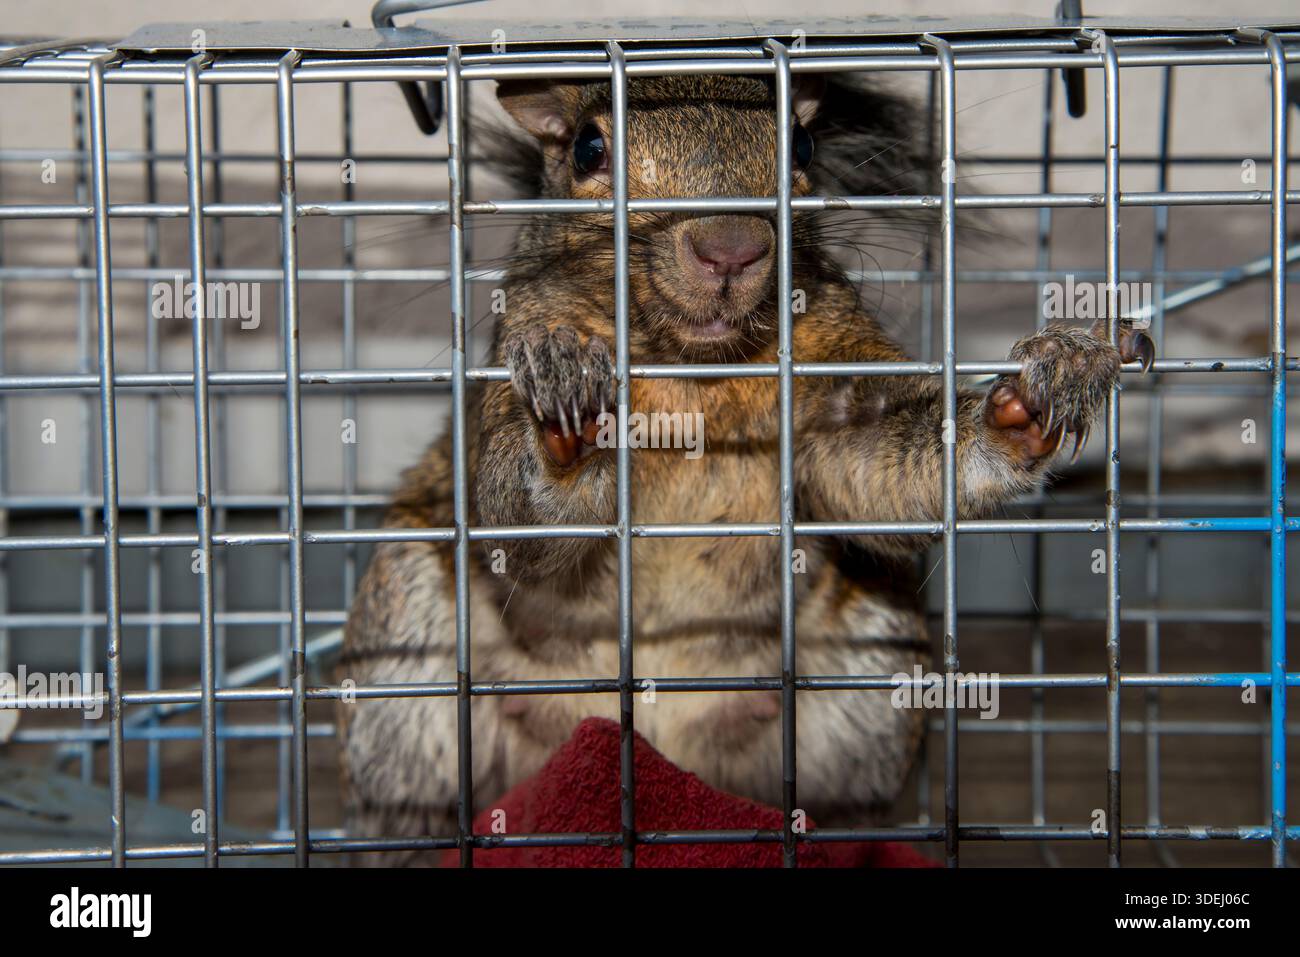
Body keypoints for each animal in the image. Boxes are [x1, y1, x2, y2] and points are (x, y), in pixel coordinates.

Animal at [336, 72, 1154, 864]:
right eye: (589, 148)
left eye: (801, 143)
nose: (729, 246)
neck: (693, 370)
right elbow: (515, 520)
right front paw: (567, 400)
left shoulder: (834, 380)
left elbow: (878, 475)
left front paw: (1034, 396)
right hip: (403, 666)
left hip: (870, 670)